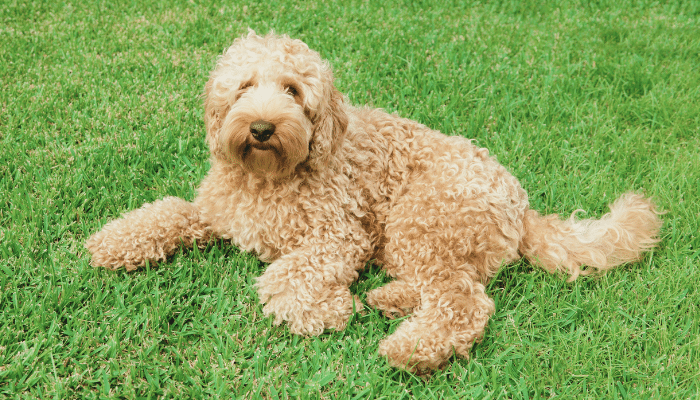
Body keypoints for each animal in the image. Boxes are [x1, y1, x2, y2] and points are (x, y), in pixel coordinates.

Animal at [86, 32, 660, 374]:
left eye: (293, 90)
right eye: (244, 86)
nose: (262, 127)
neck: (269, 178)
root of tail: (519, 203)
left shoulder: (341, 235)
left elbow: (282, 277)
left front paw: (327, 309)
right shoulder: (215, 212)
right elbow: (166, 211)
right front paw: (113, 241)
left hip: (419, 219)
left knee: (464, 301)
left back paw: (410, 347)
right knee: (449, 285)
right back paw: (388, 299)